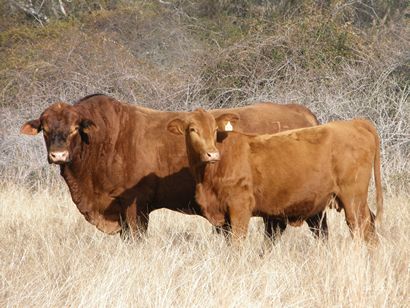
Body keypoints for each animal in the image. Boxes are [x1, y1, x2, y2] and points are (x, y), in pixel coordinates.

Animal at [167, 109, 384, 244]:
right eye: (192, 129)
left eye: (214, 130)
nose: (212, 154)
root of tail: (356, 123)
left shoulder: (240, 207)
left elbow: (237, 243)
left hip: (353, 198)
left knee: (361, 227)